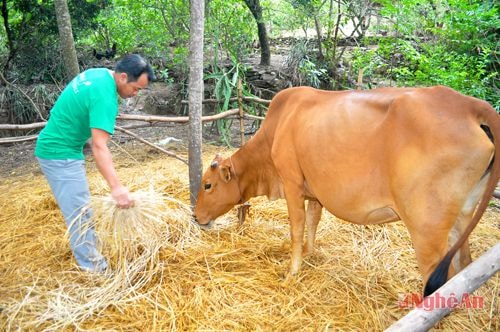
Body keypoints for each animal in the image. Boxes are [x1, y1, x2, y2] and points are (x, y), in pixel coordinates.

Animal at [192, 85, 500, 296]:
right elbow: (313, 221)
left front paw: (292, 271)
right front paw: (309, 253)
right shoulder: (314, 191)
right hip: (461, 218)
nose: (195, 217)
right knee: (464, 268)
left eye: (208, 184)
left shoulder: (291, 182)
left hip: (427, 229)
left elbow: (297, 227)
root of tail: (468, 104)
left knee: (439, 280)